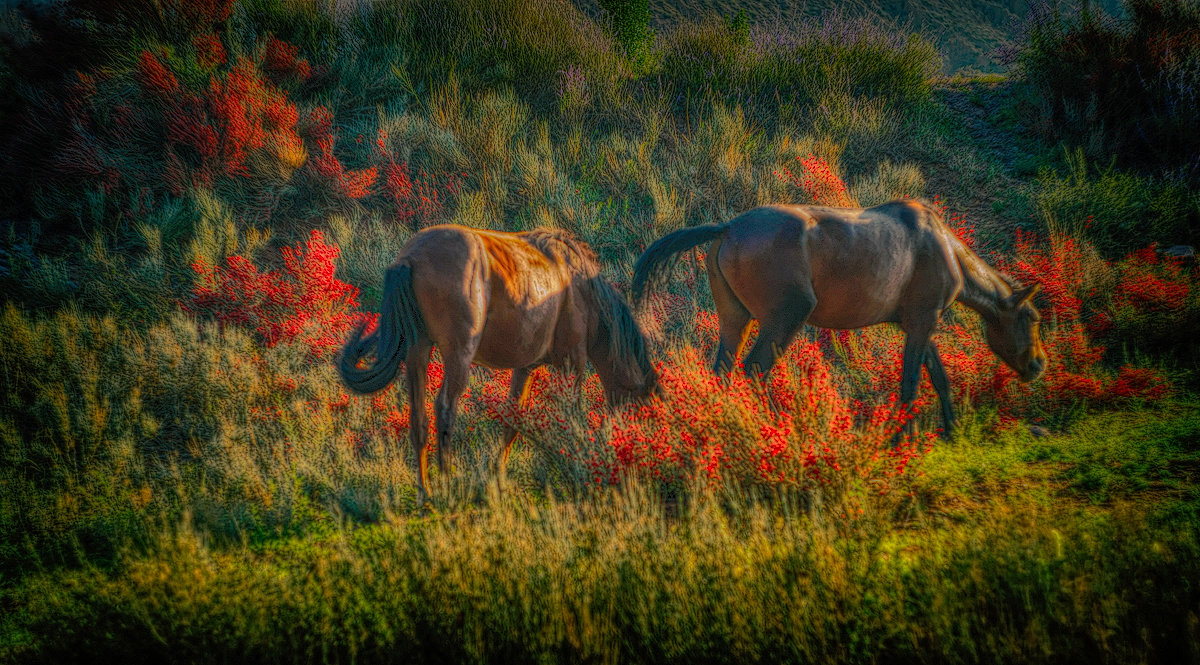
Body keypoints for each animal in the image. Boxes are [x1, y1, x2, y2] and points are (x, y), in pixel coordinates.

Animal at [338, 224, 657, 501]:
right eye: (641, 410)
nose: (633, 459)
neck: (578, 285)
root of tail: (410, 258)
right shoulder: (572, 363)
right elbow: (573, 419)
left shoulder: (525, 368)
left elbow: (512, 422)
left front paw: (498, 478)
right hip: (458, 357)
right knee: (445, 410)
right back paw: (447, 486)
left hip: (417, 350)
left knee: (419, 418)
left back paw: (424, 491)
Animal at [633, 198, 1046, 434]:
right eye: (1033, 318)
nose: (1039, 365)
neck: (944, 247)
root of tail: (730, 227)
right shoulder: (923, 322)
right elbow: (911, 384)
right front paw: (903, 438)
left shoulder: (919, 325)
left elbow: (939, 380)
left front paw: (952, 430)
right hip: (784, 320)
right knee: (755, 371)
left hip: (737, 321)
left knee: (724, 371)